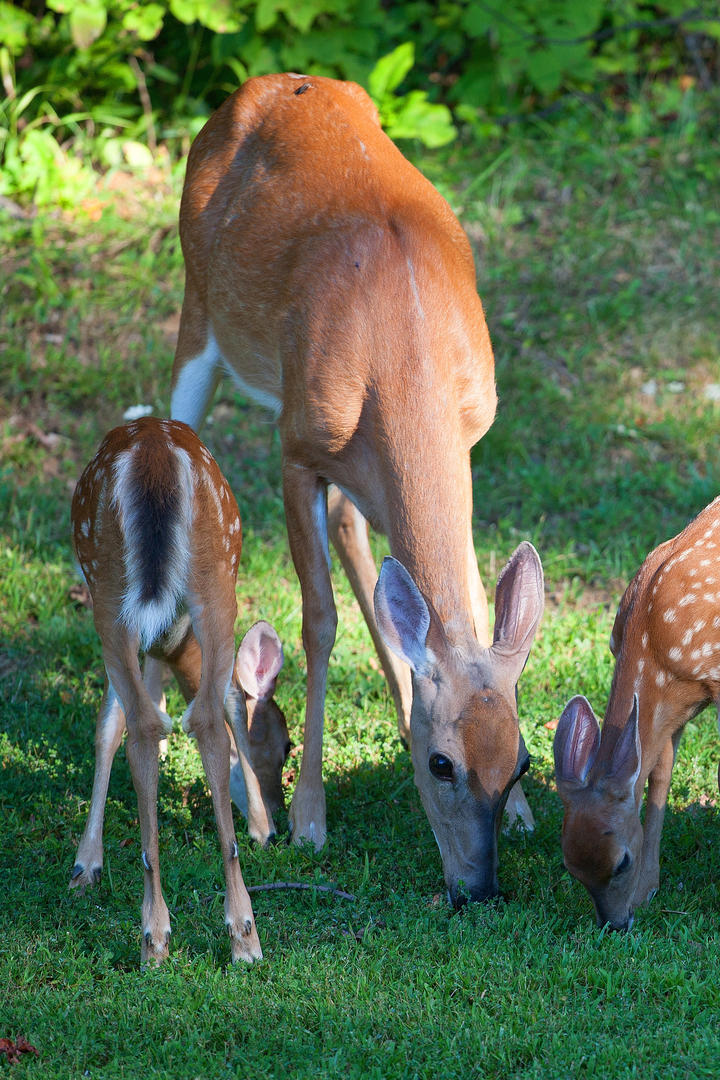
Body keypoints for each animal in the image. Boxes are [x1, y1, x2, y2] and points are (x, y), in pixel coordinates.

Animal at [69, 419, 289, 963]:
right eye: (284, 743)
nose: (278, 819)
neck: (173, 647)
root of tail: (152, 450)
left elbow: (113, 722)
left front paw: (86, 863)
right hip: (210, 577)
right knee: (199, 716)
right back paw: (232, 934)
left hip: (115, 587)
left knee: (166, 720)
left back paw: (169, 932)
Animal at [166, 71, 544, 907]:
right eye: (442, 765)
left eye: (523, 761)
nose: (479, 889)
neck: (402, 345)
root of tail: (273, 83)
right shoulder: (296, 445)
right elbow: (319, 620)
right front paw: (308, 817)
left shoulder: (469, 439)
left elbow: (463, 599)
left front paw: (528, 815)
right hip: (197, 315)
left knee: (356, 533)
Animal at [557, 496, 720, 928]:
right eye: (571, 869)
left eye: (621, 863)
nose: (615, 924)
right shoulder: (677, 705)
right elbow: (659, 774)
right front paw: (649, 887)